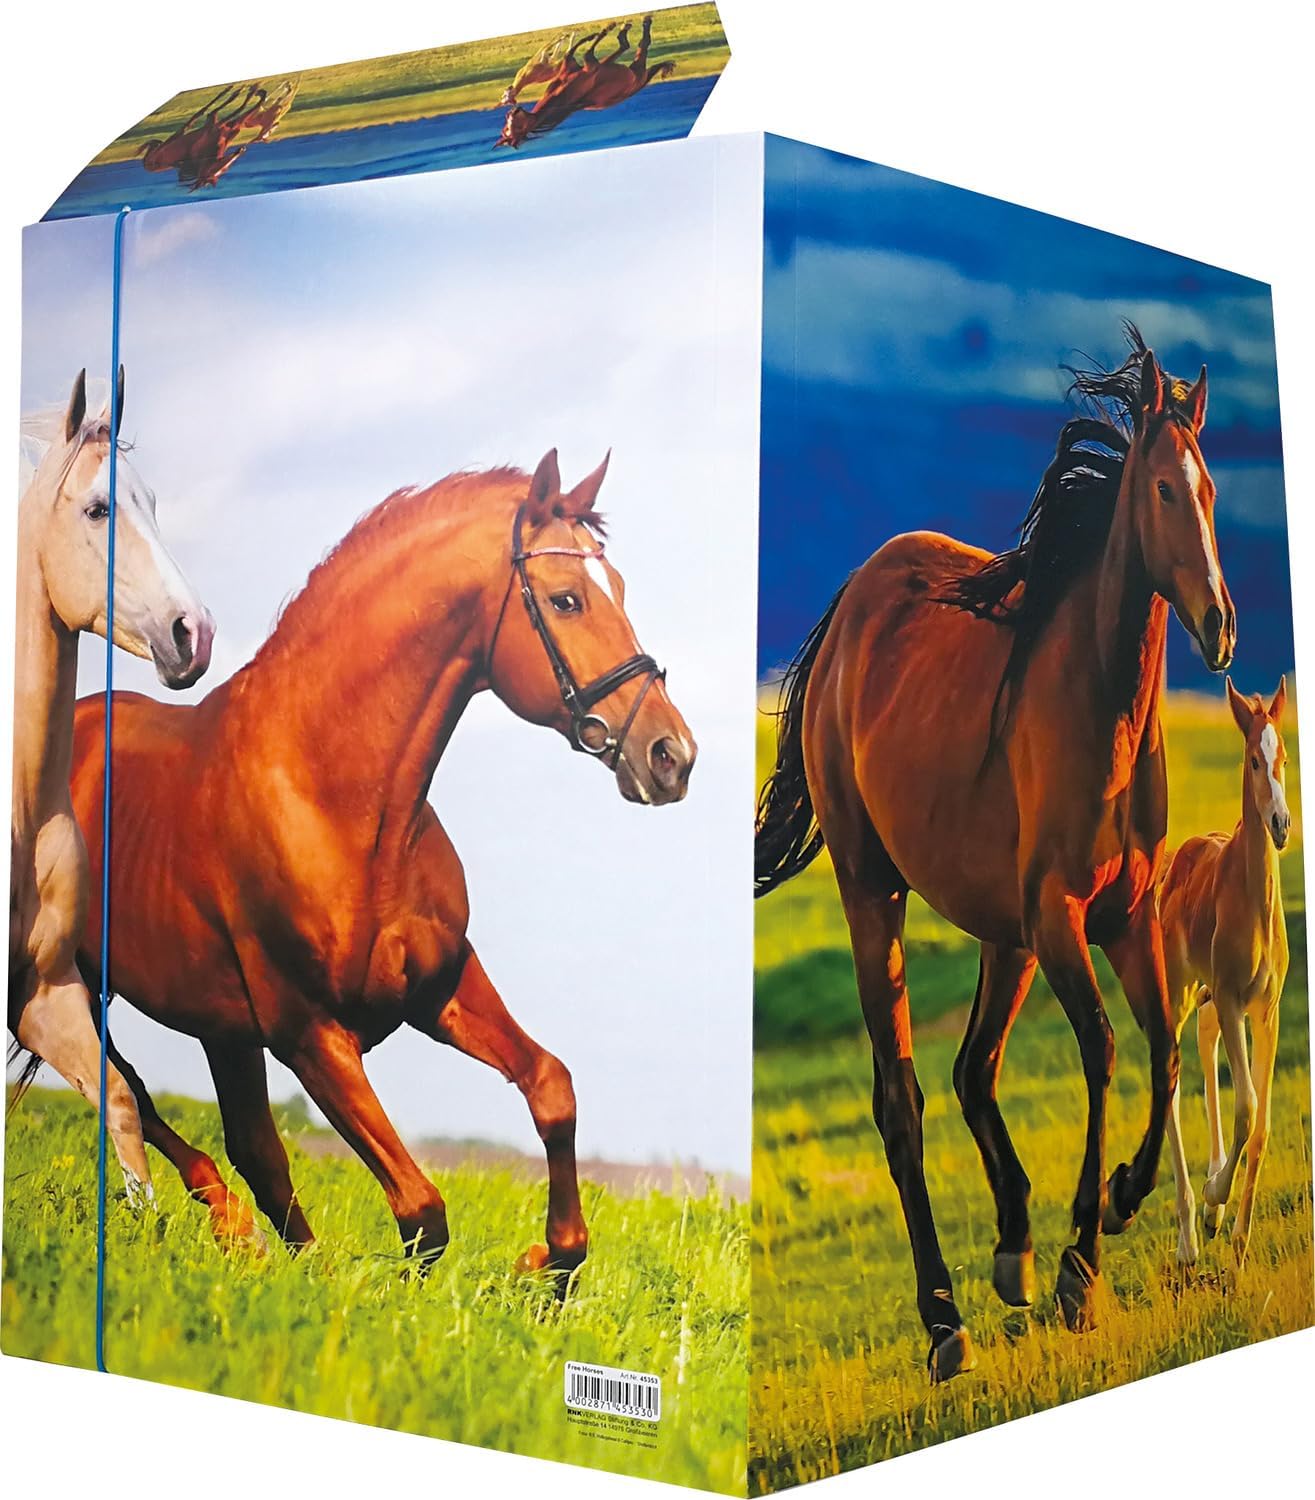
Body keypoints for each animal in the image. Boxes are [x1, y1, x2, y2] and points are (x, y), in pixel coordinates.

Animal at [68, 450, 695, 1281]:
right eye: (566, 600)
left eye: (616, 588)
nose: (670, 755)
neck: (333, 796)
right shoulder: (310, 1034)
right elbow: (421, 1209)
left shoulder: (440, 986)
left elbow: (550, 1087)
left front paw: (547, 1265)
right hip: (77, 984)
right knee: (127, 1091)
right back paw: (235, 1228)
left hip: (219, 1029)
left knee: (248, 1146)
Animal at [754, 327, 1233, 1380]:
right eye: (1162, 490)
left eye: (1212, 489)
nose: (1221, 625)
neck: (1099, 707)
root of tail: (850, 610)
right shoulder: (1060, 919)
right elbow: (1102, 1050)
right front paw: (1081, 1267)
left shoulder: (1124, 918)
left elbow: (1164, 1048)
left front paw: (1121, 1199)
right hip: (878, 896)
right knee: (903, 1099)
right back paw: (945, 1321)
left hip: (1000, 934)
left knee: (974, 1069)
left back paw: (1009, 1251)